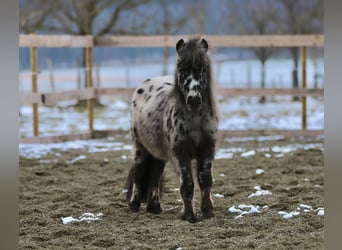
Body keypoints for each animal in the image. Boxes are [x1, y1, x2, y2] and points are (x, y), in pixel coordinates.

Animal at [125, 36, 219, 223]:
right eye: (181, 68)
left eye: (203, 68)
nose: (194, 100)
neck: (195, 120)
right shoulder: (180, 153)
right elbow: (187, 184)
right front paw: (189, 216)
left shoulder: (207, 149)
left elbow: (205, 179)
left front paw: (207, 211)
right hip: (139, 147)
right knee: (138, 172)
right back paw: (134, 205)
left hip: (157, 153)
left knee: (154, 174)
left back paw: (155, 207)